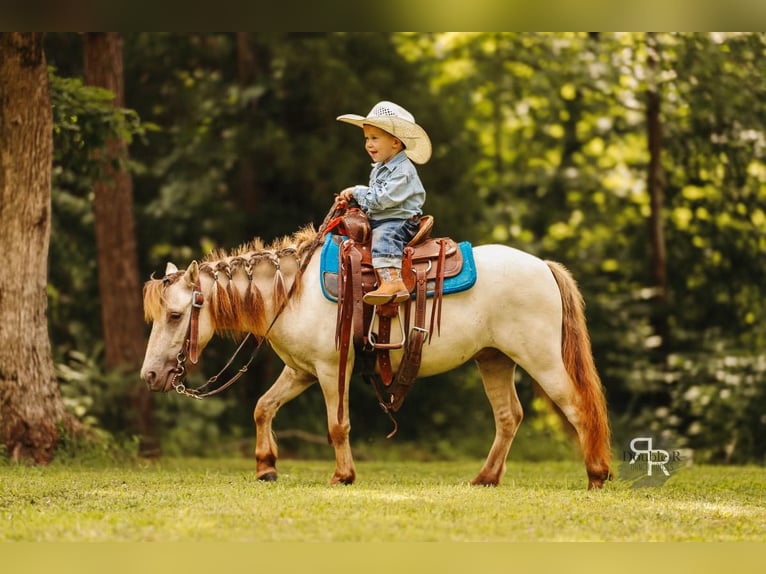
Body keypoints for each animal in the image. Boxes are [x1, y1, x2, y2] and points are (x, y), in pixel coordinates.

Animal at [140, 222, 613, 489]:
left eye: (176, 315)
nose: (149, 376)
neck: (293, 292)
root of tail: (543, 266)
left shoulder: (332, 369)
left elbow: (338, 425)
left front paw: (342, 476)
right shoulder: (299, 371)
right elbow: (262, 408)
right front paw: (266, 468)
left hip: (541, 358)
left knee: (577, 407)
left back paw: (596, 475)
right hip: (494, 359)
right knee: (508, 417)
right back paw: (485, 479)